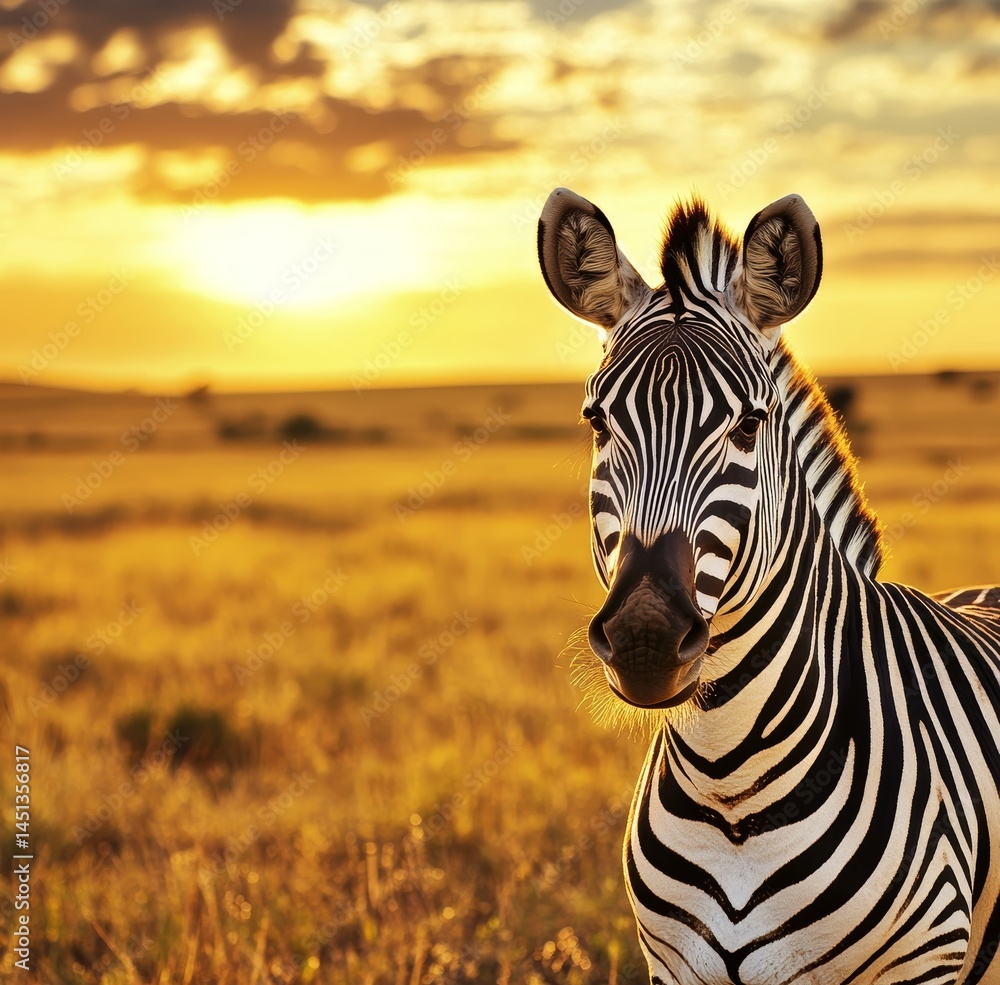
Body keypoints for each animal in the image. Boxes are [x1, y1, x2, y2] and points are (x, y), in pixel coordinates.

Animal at [537, 186, 1000, 984]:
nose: (645, 638)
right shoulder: (674, 968)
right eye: (597, 422)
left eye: (750, 425)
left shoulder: (926, 958)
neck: (732, 781)